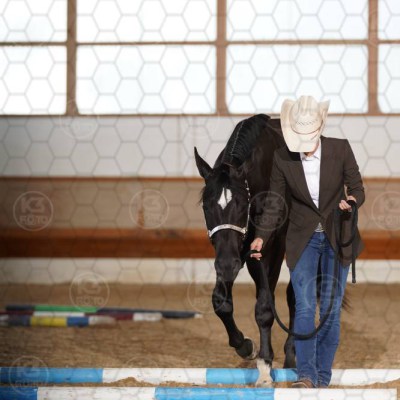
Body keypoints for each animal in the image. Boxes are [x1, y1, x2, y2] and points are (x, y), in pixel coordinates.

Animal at [194, 113, 296, 387]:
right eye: (206, 206)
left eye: (242, 204)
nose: (228, 266)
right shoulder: (232, 253)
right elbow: (221, 301)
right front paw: (245, 346)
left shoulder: (271, 251)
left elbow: (265, 307)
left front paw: (265, 366)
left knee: (295, 294)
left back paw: (291, 353)